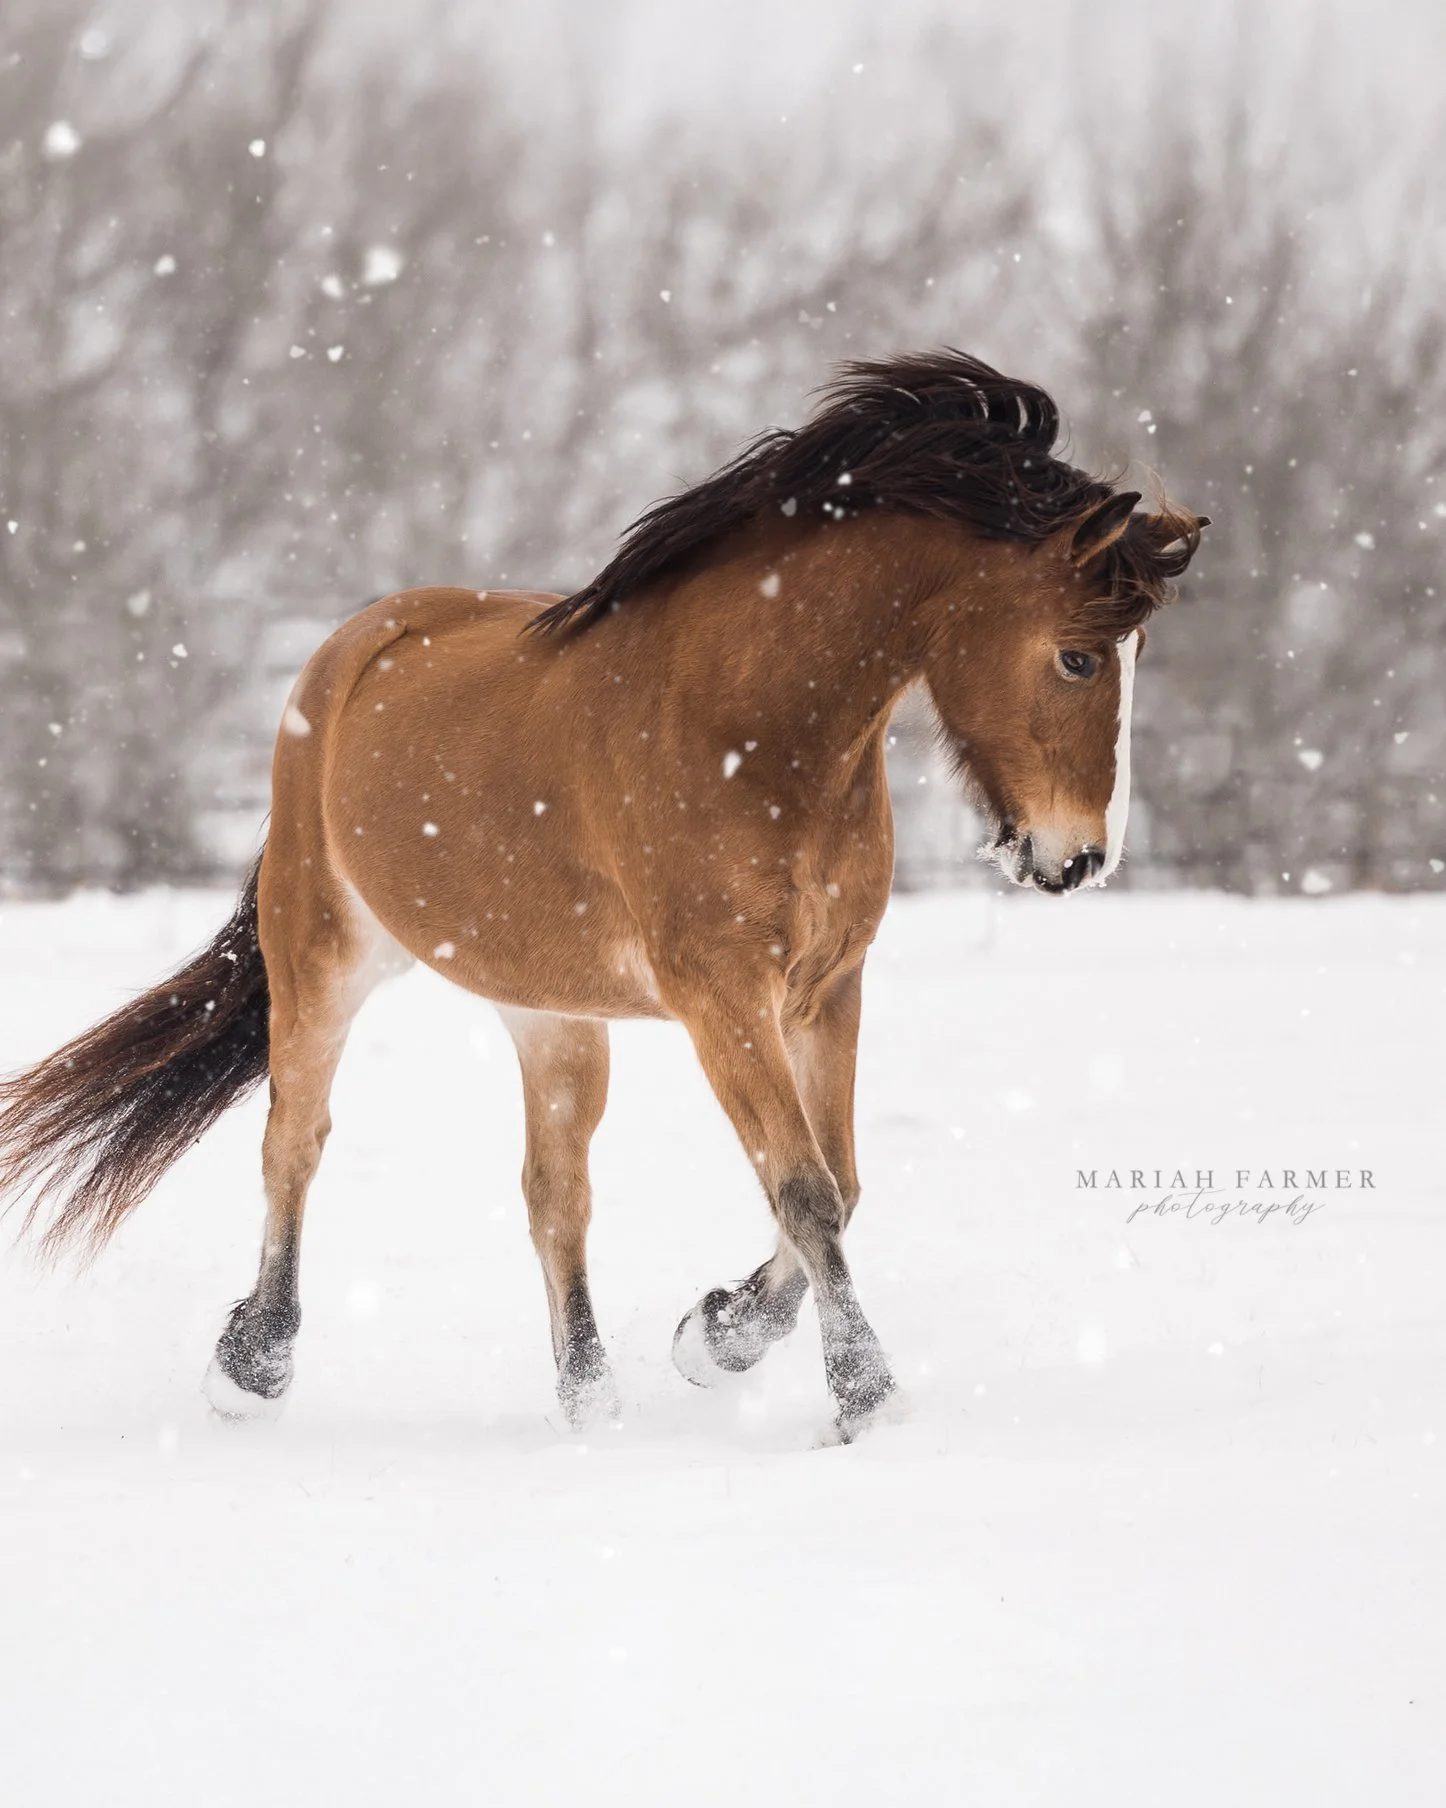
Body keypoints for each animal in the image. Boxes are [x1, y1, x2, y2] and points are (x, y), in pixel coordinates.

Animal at [0, 352, 1206, 1441]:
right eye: (1080, 658)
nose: (1080, 858)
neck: (751, 726)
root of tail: (351, 648)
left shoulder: (826, 988)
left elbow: (840, 1181)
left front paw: (714, 1334)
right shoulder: (724, 998)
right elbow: (807, 1186)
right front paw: (862, 1397)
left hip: (550, 1013)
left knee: (555, 1190)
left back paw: (588, 1400)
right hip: (322, 956)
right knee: (295, 1139)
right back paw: (252, 1367)